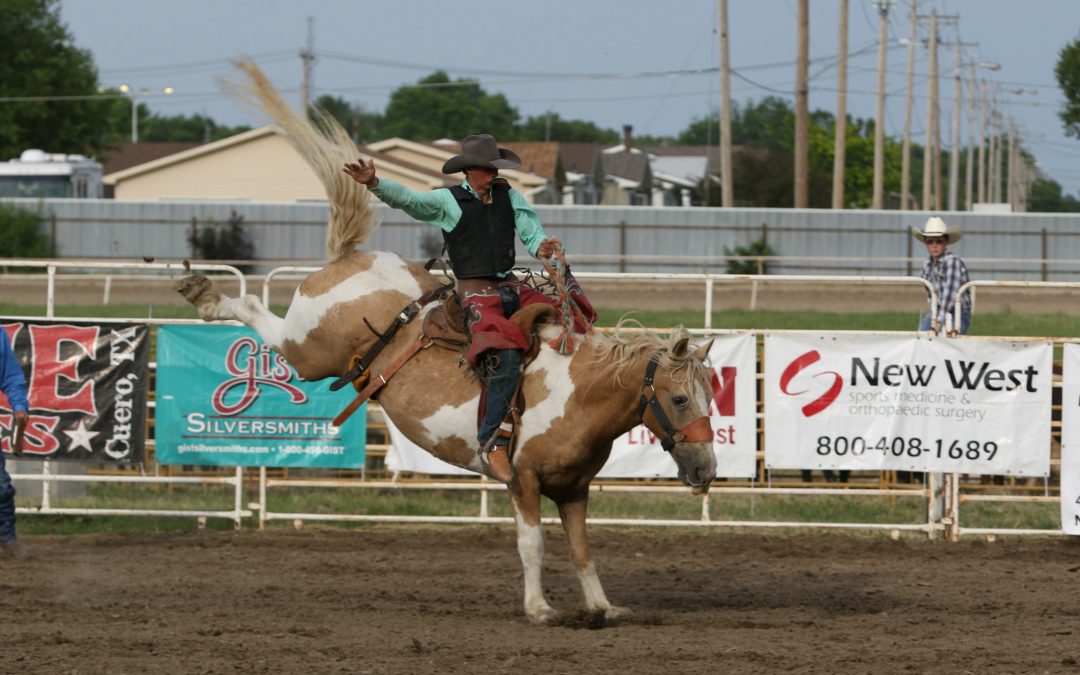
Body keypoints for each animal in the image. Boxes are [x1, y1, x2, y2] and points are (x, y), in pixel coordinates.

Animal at [177, 60, 717, 622]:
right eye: (680, 398)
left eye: (713, 397)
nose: (706, 469)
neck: (578, 393)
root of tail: (352, 257)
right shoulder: (522, 480)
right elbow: (533, 546)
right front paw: (539, 608)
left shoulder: (575, 489)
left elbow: (582, 549)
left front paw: (602, 607)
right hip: (309, 348)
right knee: (258, 314)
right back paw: (206, 295)